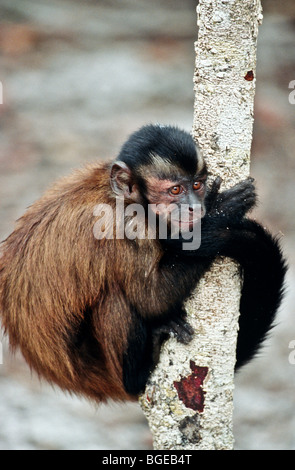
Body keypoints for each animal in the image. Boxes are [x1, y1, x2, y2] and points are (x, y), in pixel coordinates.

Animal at [0, 124, 286, 400]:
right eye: (175, 190)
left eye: (197, 185)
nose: (194, 207)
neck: (125, 198)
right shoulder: (124, 225)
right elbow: (151, 299)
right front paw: (219, 217)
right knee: (114, 297)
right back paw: (139, 371)